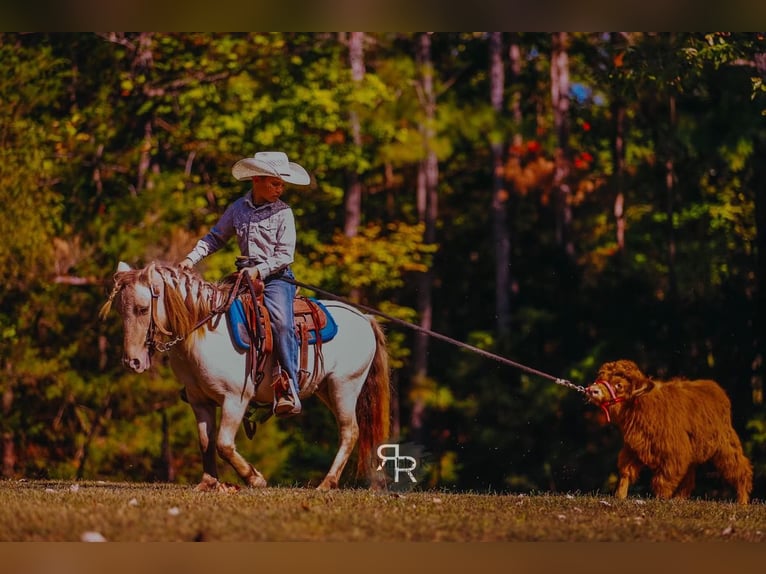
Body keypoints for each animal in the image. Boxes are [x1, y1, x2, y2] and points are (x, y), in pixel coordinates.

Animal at [100, 261, 391, 491]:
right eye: (120, 310)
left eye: (142, 309)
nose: (132, 361)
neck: (207, 332)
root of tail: (366, 318)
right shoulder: (199, 400)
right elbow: (206, 441)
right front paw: (208, 482)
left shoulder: (235, 399)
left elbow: (224, 443)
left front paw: (255, 478)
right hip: (327, 389)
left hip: (345, 386)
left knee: (349, 431)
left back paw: (327, 483)